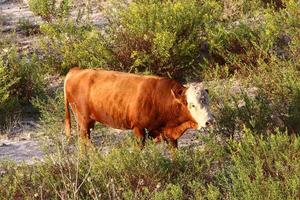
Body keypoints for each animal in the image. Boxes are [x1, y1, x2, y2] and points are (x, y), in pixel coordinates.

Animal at [63, 68, 213, 148]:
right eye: (192, 104)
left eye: (208, 102)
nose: (209, 121)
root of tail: (76, 71)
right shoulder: (138, 129)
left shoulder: (170, 135)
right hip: (83, 121)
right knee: (85, 141)